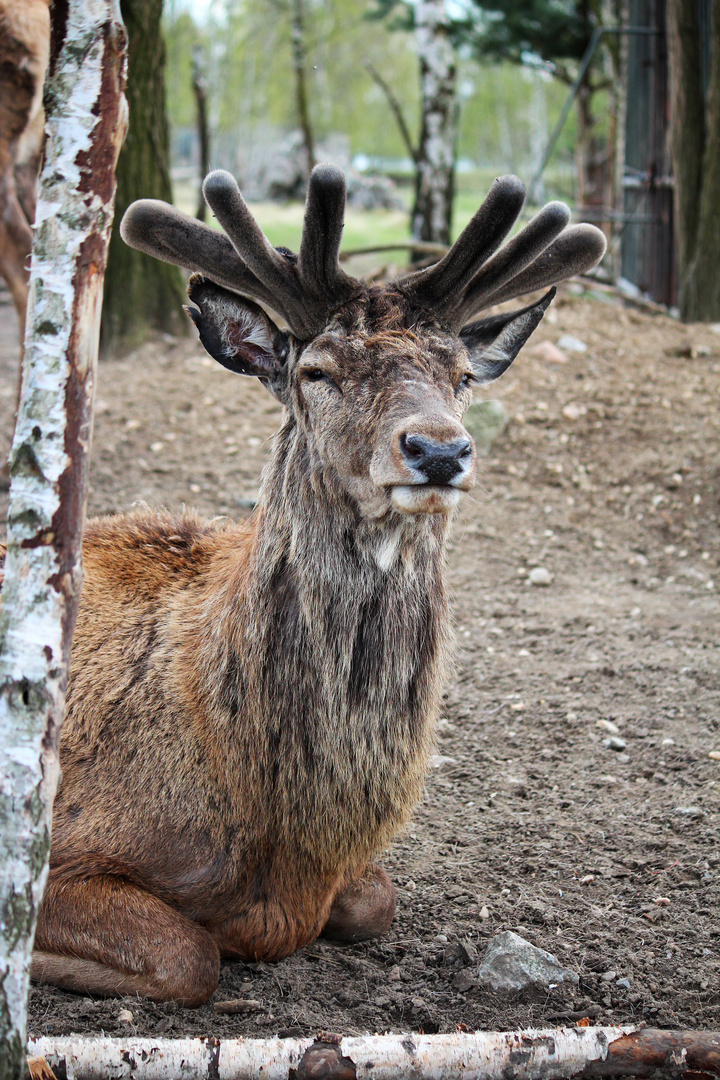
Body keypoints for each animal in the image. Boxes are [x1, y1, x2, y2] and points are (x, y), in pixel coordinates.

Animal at [5, 166, 604, 1002]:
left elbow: (377, 899)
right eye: (316, 372)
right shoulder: (56, 847)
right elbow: (189, 954)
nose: (438, 449)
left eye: (460, 376)